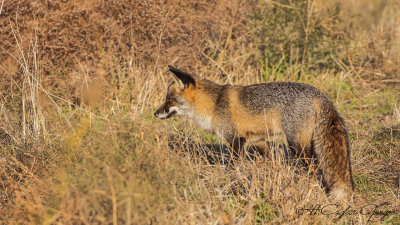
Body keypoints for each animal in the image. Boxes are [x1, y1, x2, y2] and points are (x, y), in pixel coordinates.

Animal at [154, 65, 354, 202]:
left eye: (170, 99)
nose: (155, 113)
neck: (214, 104)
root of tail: (321, 94)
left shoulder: (236, 140)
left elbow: (233, 167)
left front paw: (231, 183)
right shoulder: (256, 141)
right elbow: (270, 160)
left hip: (297, 146)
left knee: (315, 169)